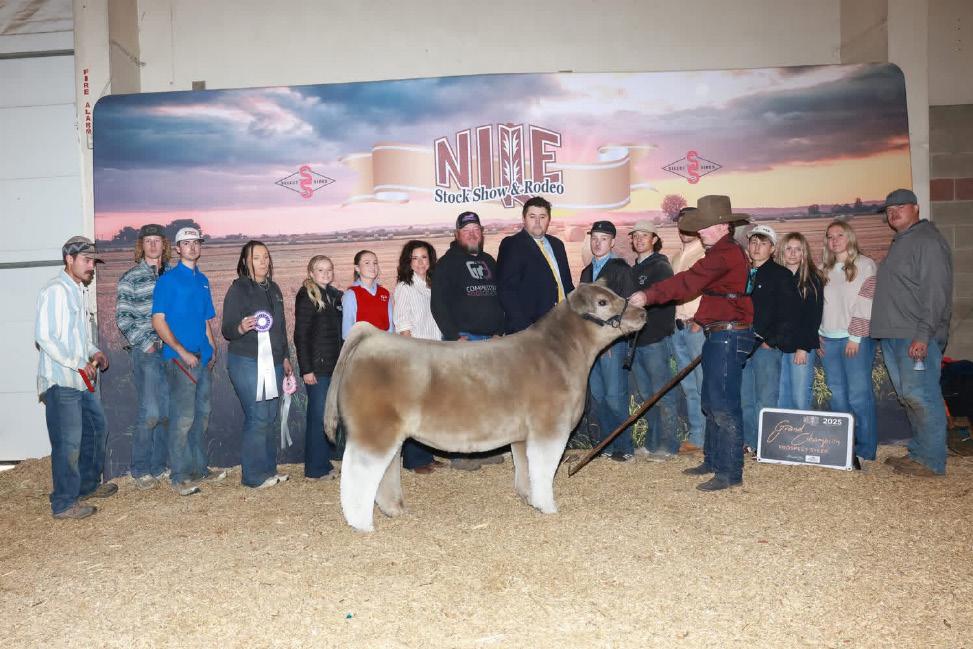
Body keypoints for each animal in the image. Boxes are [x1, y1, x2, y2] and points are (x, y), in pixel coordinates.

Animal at [324, 281, 646, 531]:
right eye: (603, 302)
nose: (642, 311)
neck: (562, 355)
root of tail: (372, 336)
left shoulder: (523, 435)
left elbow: (526, 469)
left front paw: (530, 500)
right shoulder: (550, 427)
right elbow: (543, 468)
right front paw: (548, 506)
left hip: (391, 433)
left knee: (385, 470)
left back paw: (395, 510)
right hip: (373, 430)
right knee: (358, 473)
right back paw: (361, 524)